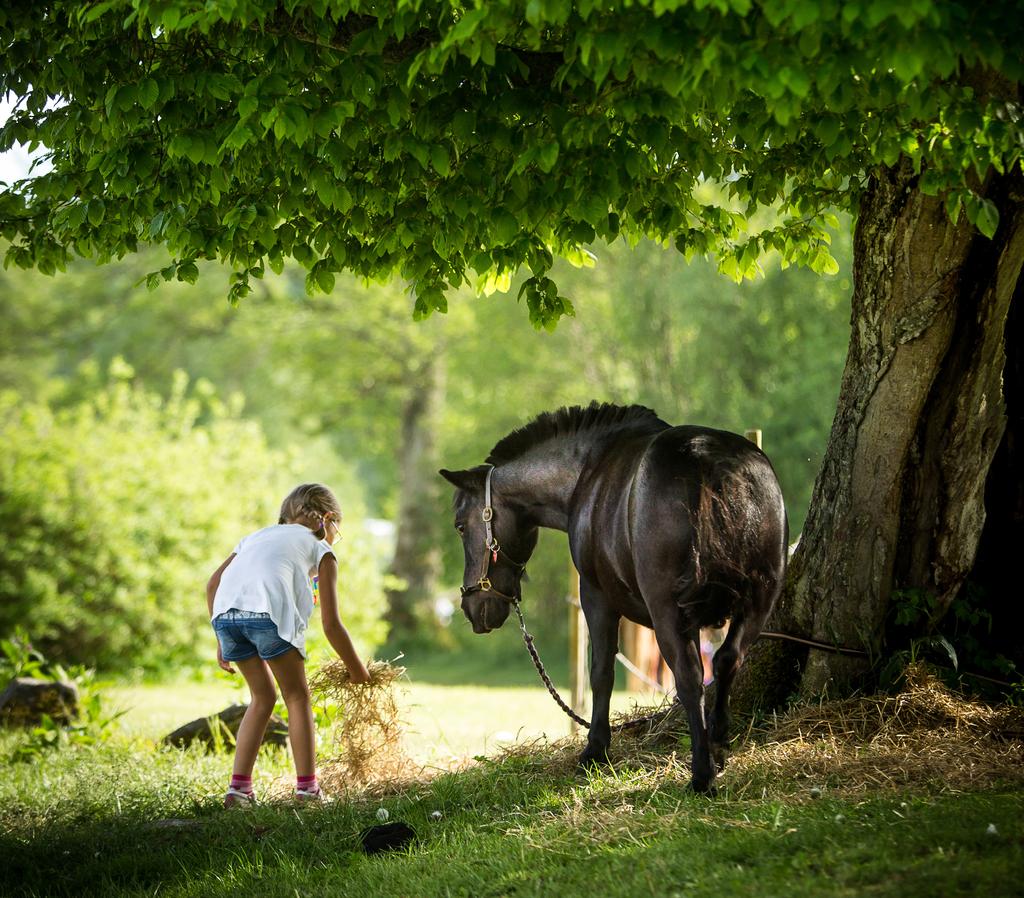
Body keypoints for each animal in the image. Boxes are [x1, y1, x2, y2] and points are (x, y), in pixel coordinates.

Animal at [438, 403, 782, 786]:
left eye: (459, 525)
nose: (470, 605)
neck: (587, 472)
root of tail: (712, 461)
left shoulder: (596, 597)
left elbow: (601, 671)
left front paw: (595, 750)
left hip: (667, 611)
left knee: (690, 677)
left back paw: (702, 774)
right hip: (758, 602)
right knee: (727, 660)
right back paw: (718, 748)